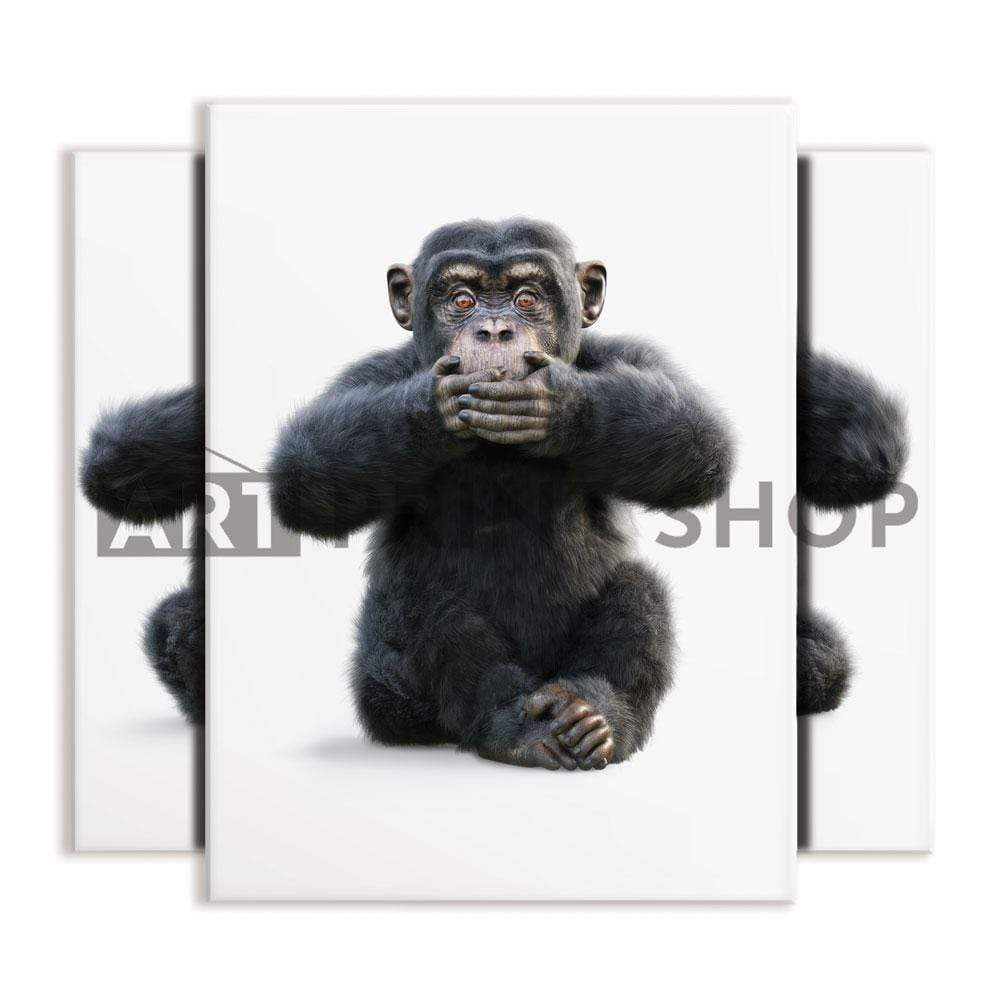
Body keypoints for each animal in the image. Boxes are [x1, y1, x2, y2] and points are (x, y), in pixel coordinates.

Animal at [268, 219, 736, 769]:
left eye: (527, 297)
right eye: (463, 300)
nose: (494, 330)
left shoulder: (630, 357)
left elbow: (698, 435)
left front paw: (558, 402)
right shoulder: (371, 375)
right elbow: (305, 471)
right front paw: (436, 409)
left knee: (639, 588)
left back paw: (595, 717)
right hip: (388, 699)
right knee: (419, 600)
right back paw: (514, 725)